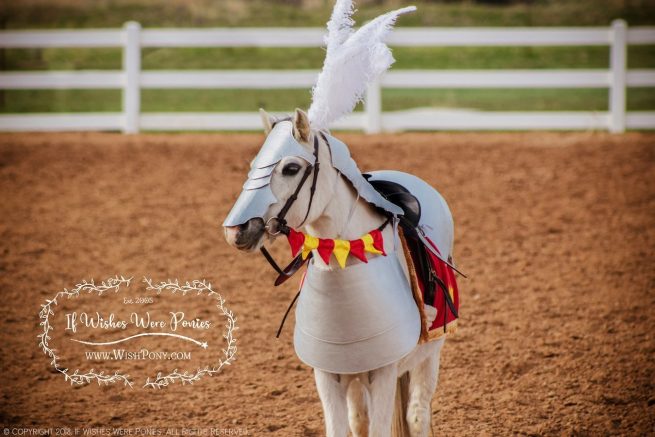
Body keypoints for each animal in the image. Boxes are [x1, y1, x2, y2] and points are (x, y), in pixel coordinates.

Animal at [223, 108, 455, 437]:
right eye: (255, 165)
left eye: (291, 168)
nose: (237, 230)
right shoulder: (329, 373)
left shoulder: (384, 372)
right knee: (360, 419)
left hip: (431, 352)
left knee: (417, 415)